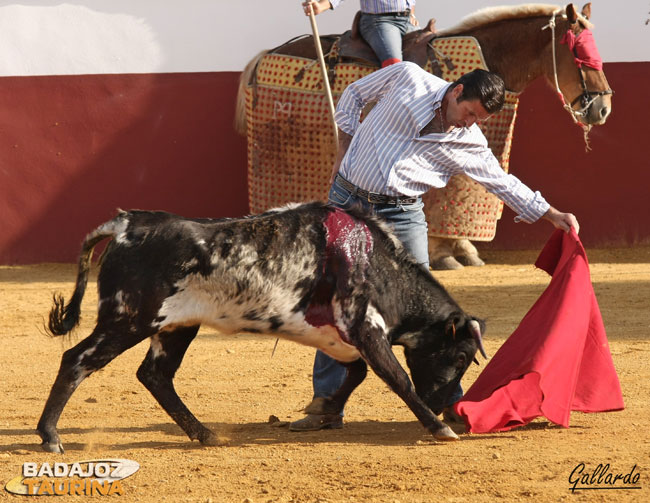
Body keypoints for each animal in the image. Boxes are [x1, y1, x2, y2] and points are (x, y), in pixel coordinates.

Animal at [35, 201, 484, 452]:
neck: (375, 262)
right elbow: (396, 378)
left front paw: (324, 411)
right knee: (77, 359)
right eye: (461, 355)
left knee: (155, 375)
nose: (442, 404)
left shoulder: (342, 338)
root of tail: (127, 224)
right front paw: (439, 428)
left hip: (176, 326)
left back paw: (205, 435)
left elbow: (354, 375)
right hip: (128, 319)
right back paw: (50, 435)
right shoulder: (365, 328)